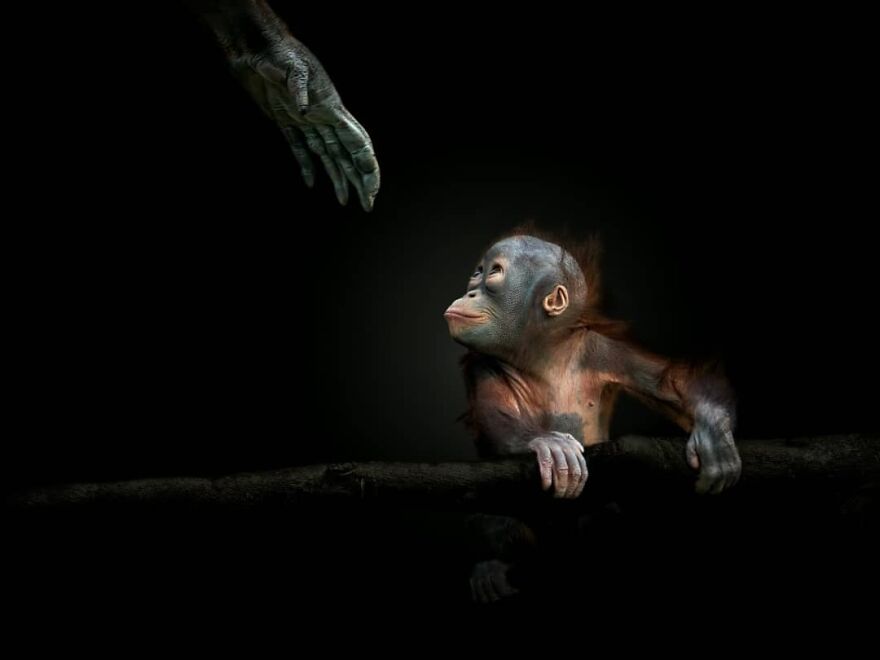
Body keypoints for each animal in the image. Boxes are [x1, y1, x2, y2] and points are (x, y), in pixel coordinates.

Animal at [444, 231, 741, 602]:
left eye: (494, 274)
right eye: (477, 273)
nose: (471, 290)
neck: (542, 352)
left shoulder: (602, 351)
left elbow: (669, 384)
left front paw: (713, 432)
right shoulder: (482, 363)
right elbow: (495, 420)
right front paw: (546, 443)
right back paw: (494, 567)